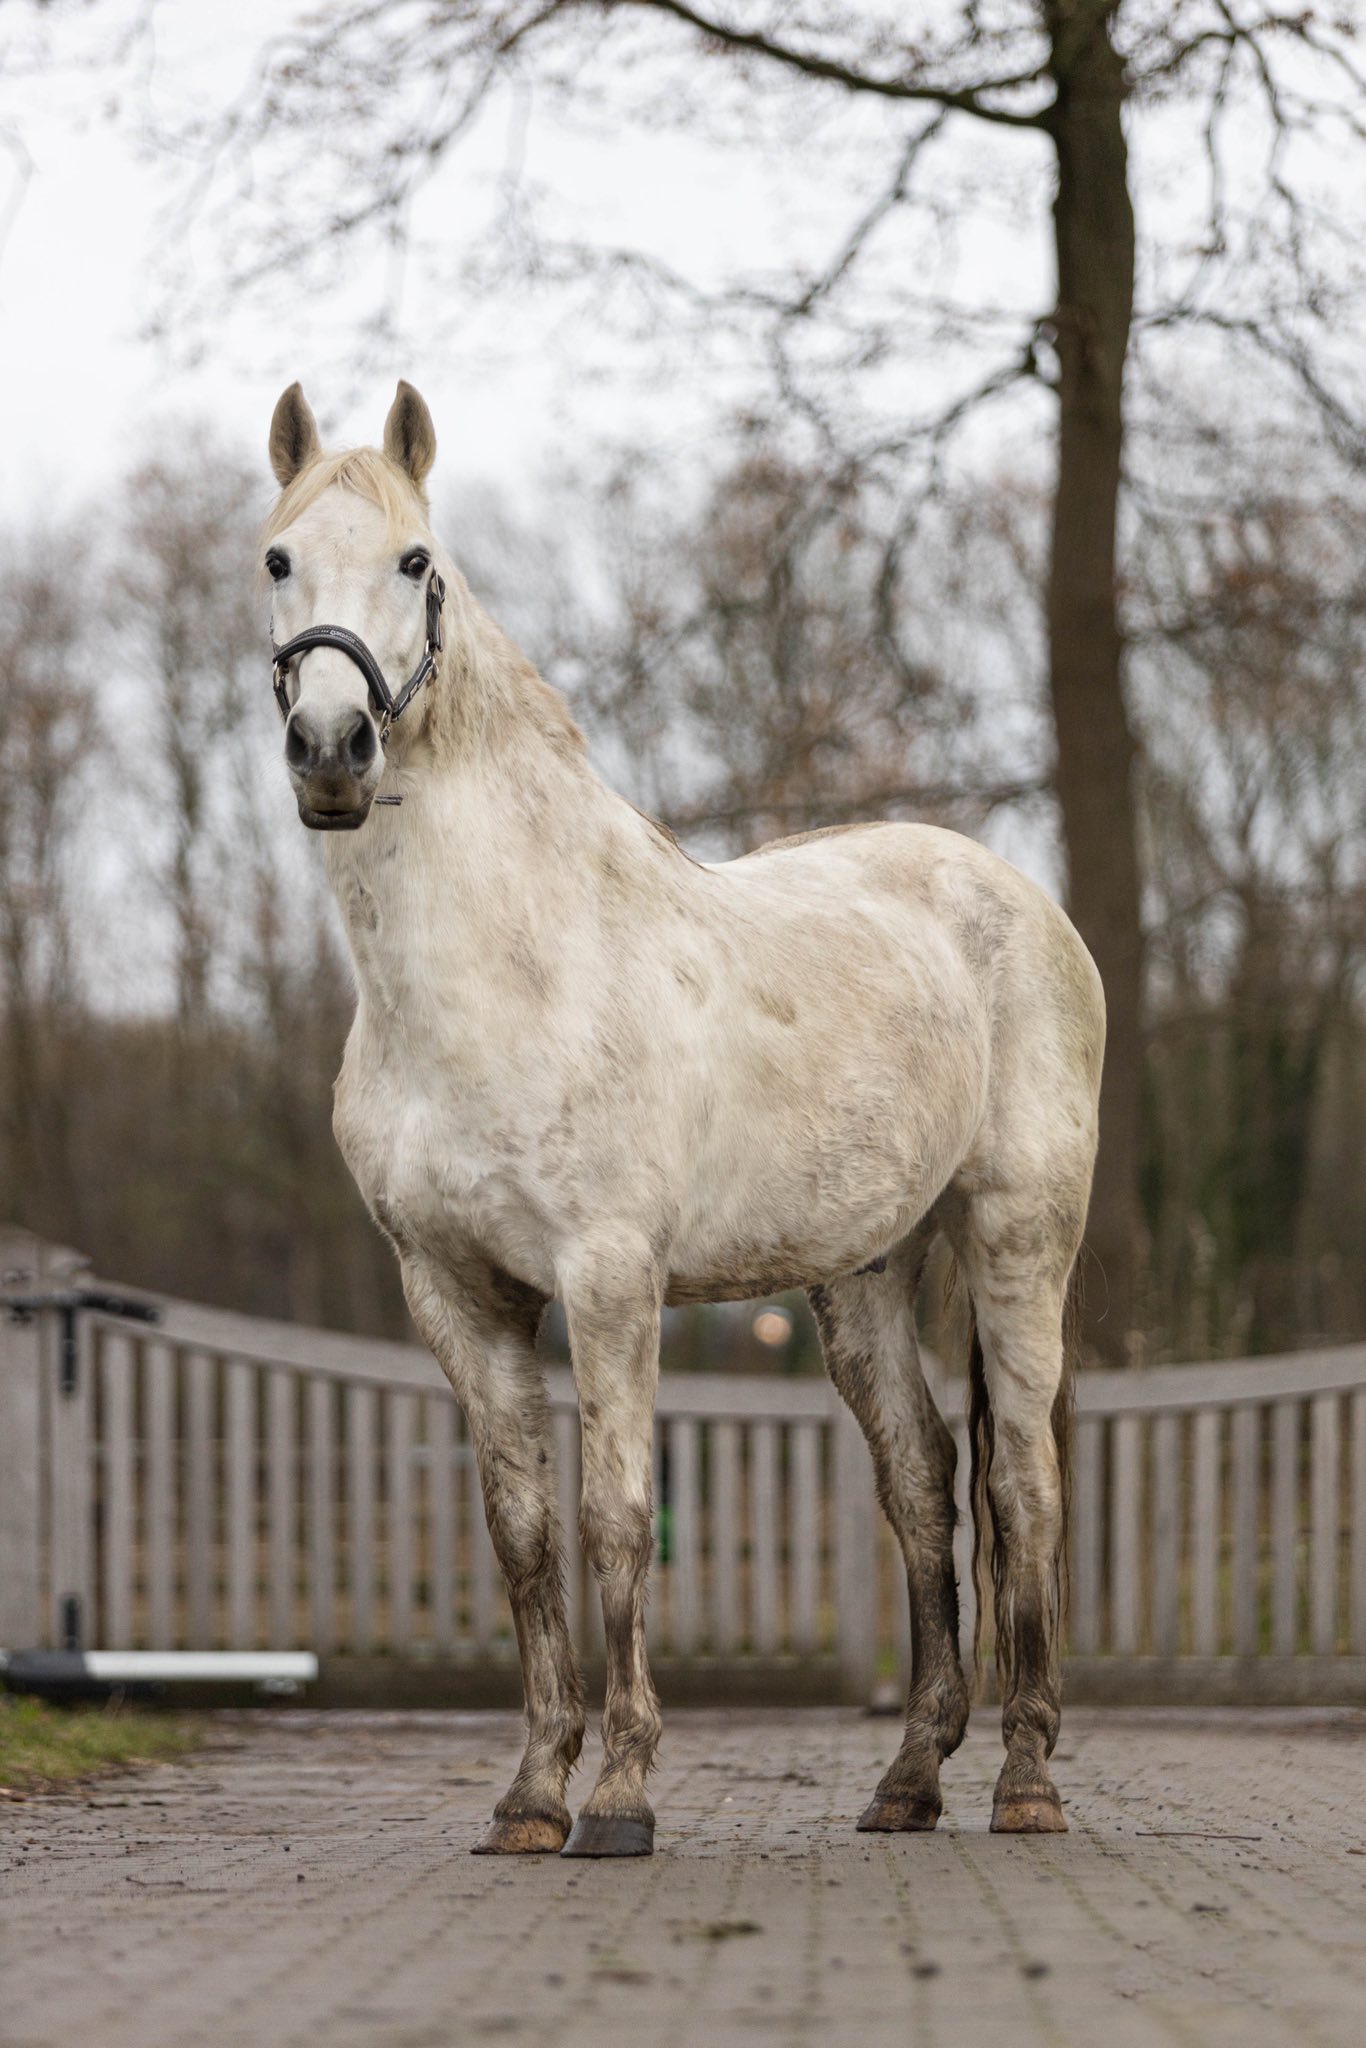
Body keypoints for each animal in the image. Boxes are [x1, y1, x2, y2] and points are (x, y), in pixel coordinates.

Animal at [262, 380, 1104, 1857]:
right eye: (275, 561)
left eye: (416, 562)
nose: (330, 749)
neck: (504, 964)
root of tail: (1018, 900)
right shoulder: (455, 1294)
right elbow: (524, 1534)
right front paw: (531, 1794)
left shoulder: (608, 1281)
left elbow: (615, 1517)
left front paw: (621, 1795)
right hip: (862, 1274)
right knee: (921, 1484)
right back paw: (906, 1780)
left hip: (1016, 1242)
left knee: (1021, 1487)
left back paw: (1024, 1783)